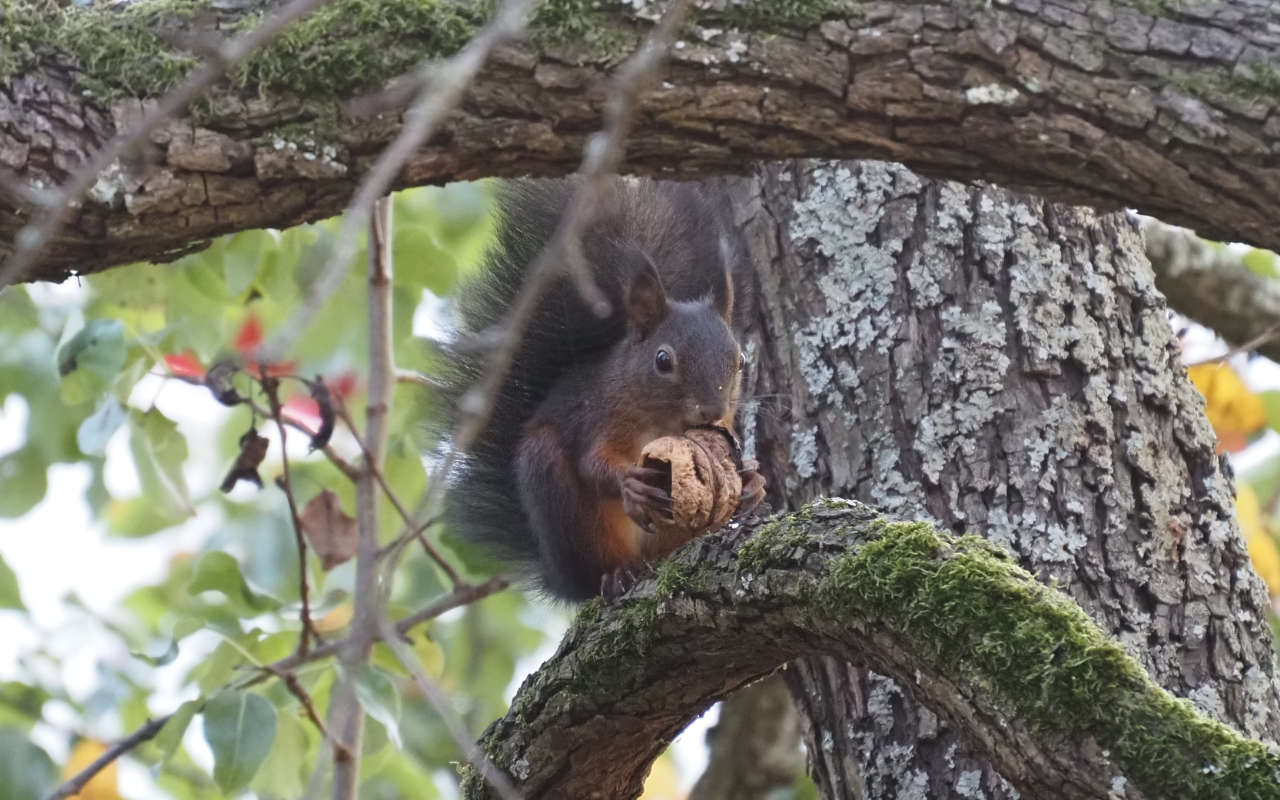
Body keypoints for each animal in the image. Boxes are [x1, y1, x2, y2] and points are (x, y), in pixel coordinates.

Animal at [435, 174, 762, 599]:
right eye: (663, 360)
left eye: (740, 361)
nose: (712, 411)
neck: (662, 425)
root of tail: (558, 573)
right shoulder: (598, 415)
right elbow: (591, 463)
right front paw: (630, 483)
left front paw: (754, 482)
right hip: (562, 500)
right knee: (596, 571)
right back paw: (617, 574)